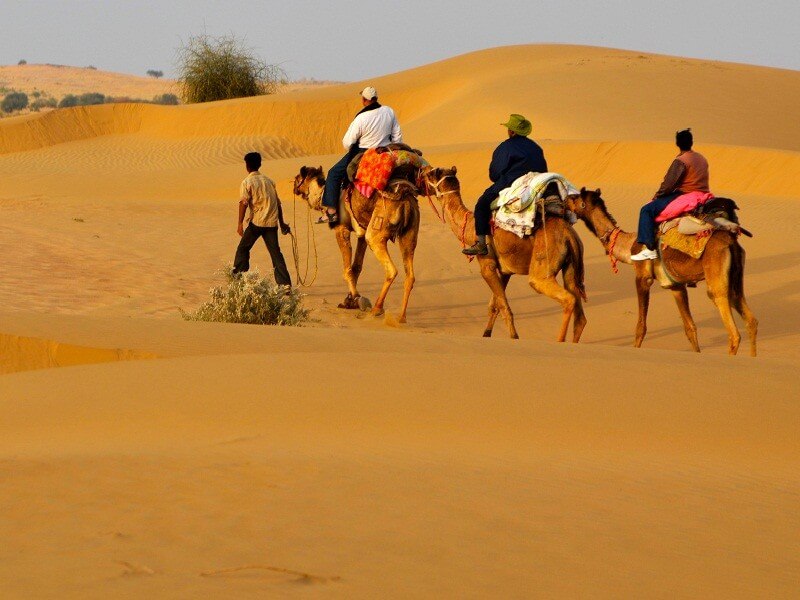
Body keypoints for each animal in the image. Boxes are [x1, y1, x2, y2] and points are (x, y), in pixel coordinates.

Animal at [292, 164, 418, 322]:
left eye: (298, 178)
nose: (294, 188)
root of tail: (405, 201)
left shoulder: (341, 229)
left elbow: (347, 270)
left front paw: (357, 298)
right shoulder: (361, 234)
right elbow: (356, 267)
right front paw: (349, 301)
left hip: (377, 229)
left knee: (391, 269)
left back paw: (377, 309)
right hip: (409, 235)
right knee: (410, 275)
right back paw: (401, 318)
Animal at [422, 166, 584, 340]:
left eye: (431, 173)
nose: (423, 171)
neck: (470, 227)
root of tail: (568, 234)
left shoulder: (487, 266)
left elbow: (503, 306)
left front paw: (514, 337)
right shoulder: (505, 271)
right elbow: (495, 305)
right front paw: (486, 334)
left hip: (544, 260)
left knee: (566, 298)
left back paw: (559, 341)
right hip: (571, 265)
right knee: (579, 310)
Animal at [568, 189, 756, 356]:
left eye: (576, 197)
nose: (566, 200)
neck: (628, 245)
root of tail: (731, 243)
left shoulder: (642, 277)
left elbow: (641, 327)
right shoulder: (676, 286)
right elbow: (690, 328)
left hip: (716, 274)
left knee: (732, 329)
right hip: (736, 278)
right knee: (750, 319)